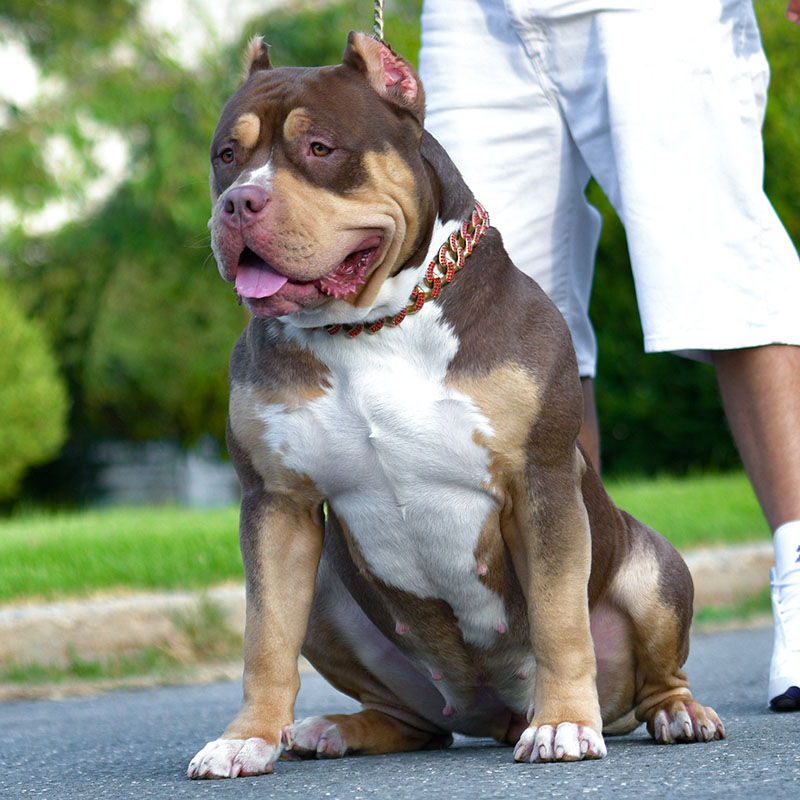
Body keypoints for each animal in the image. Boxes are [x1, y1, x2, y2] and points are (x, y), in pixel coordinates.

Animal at [189, 34, 724, 780]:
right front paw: (247, 737)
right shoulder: (276, 504)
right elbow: (265, 637)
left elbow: (561, 619)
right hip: (327, 591)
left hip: (654, 571)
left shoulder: (542, 484)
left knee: (657, 673)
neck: (369, 327)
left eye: (320, 148)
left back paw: (675, 713)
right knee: (420, 724)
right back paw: (340, 728)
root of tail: (492, 714)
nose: (240, 203)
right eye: (226, 156)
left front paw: (564, 724)